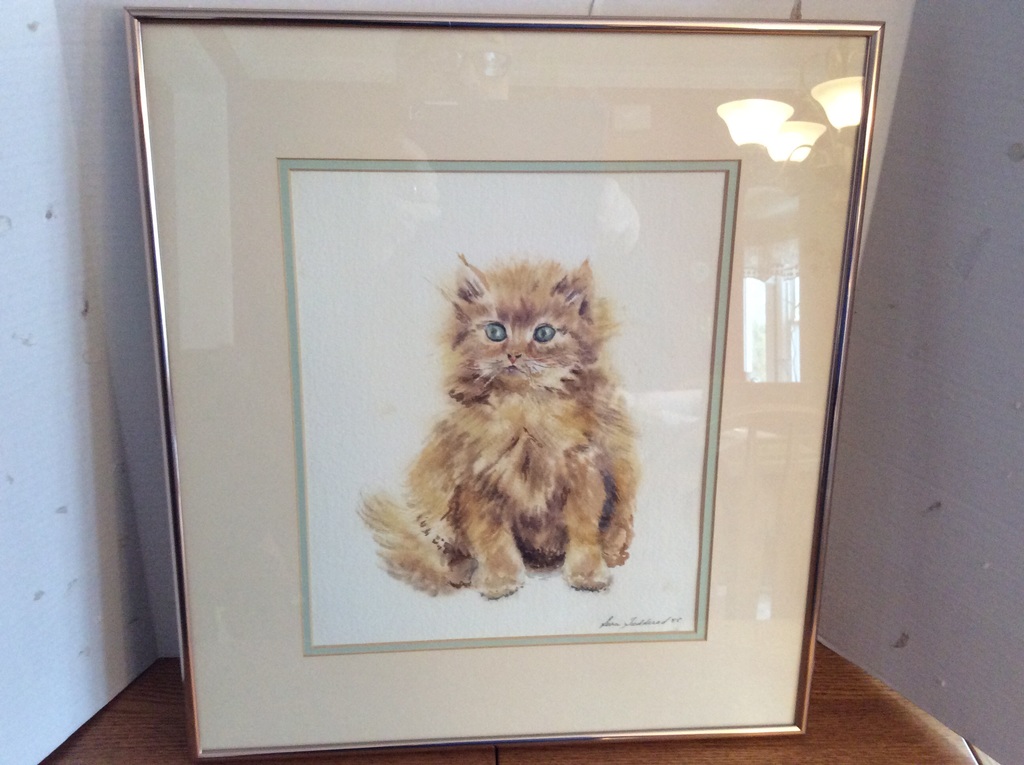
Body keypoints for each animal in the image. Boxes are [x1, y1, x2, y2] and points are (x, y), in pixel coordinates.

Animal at [361, 255, 639, 599]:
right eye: (495, 331)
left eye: (543, 333)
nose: (514, 354)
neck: (524, 410)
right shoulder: (475, 479)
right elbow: (492, 537)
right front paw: (500, 578)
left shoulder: (585, 470)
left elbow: (584, 529)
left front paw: (587, 572)